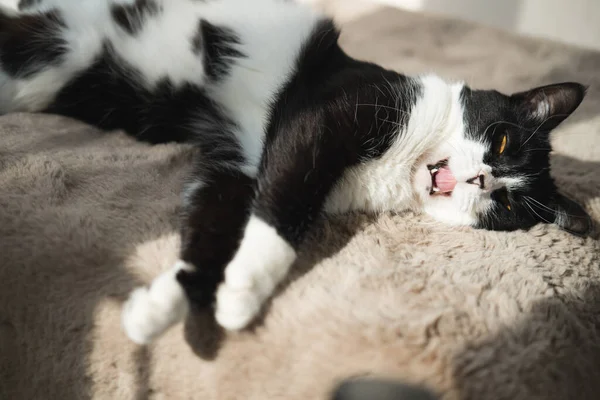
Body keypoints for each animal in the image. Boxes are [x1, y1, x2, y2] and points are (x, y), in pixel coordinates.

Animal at [2, 0, 592, 344]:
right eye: (502, 140)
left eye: (509, 205)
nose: (482, 181)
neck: (399, 169)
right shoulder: (325, 114)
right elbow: (286, 203)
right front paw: (245, 290)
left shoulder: (238, 163)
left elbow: (211, 225)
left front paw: (162, 307)